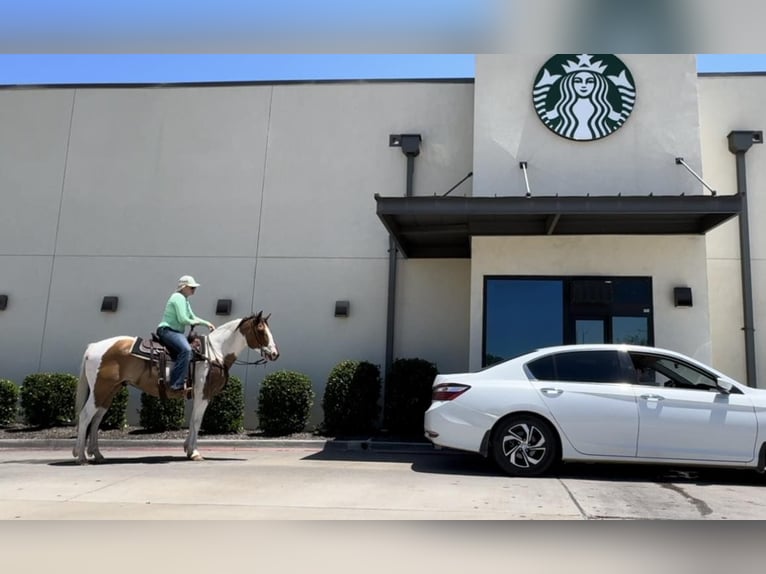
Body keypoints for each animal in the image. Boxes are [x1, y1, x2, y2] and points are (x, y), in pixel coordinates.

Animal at [73, 312, 280, 466]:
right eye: (261, 330)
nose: (275, 354)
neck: (214, 352)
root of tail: (94, 347)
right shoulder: (203, 394)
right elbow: (196, 421)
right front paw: (194, 452)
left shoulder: (200, 395)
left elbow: (194, 421)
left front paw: (187, 449)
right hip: (100, 390)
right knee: (86, 416)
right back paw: (81, 457)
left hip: (109, 392)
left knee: (96, 419)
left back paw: (97, 455)